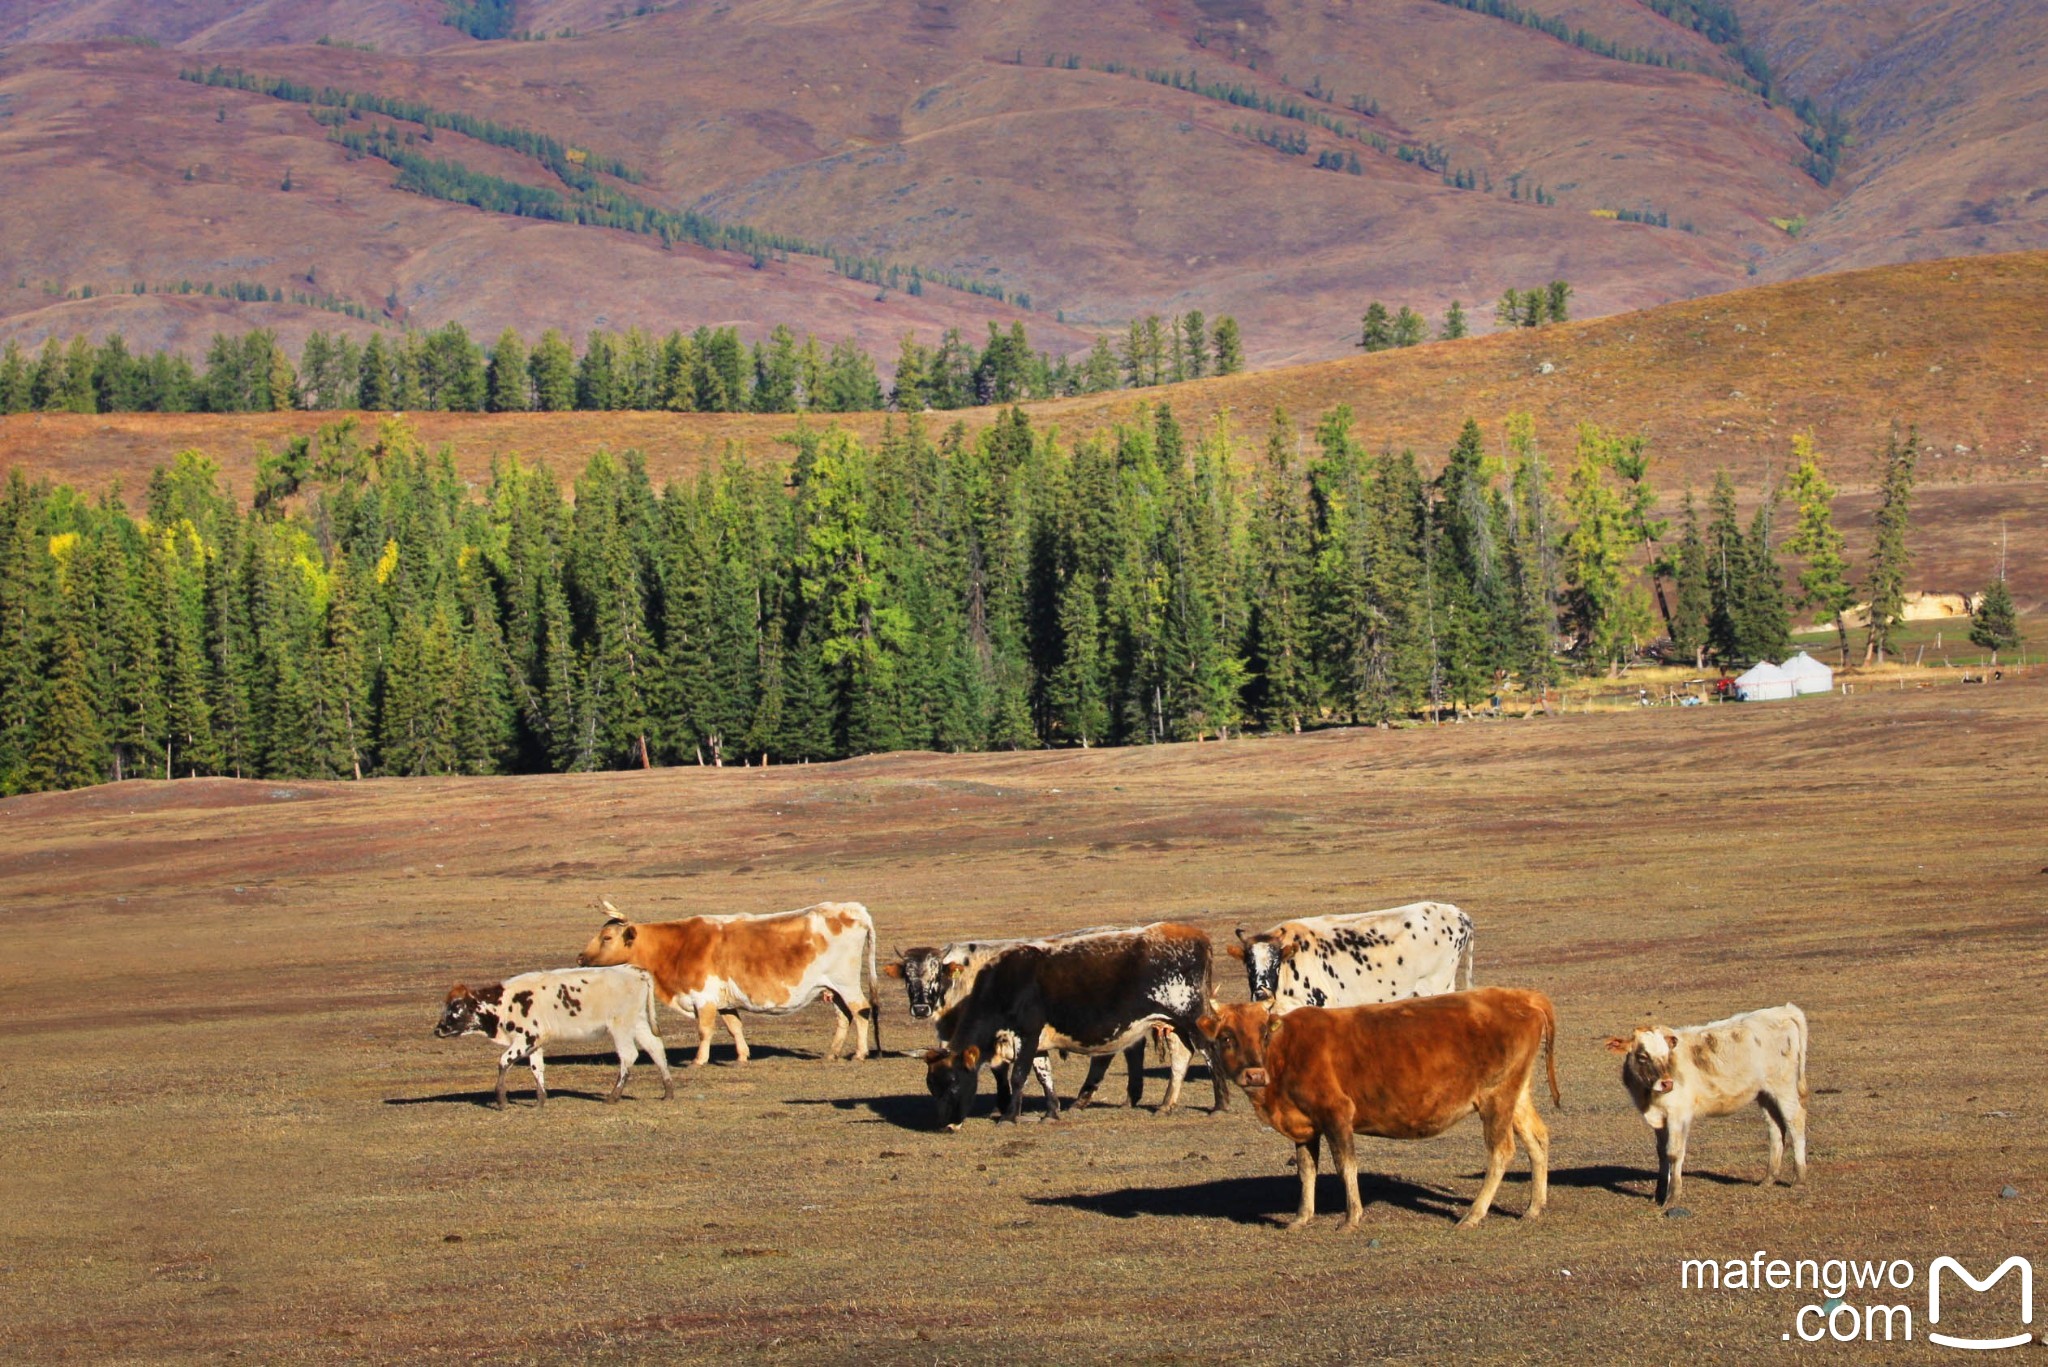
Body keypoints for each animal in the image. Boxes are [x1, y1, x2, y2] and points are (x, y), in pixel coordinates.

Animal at [434, 963, 671, 1114]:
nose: (438, 1030)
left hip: (621, 1027)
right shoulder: (535, 1043)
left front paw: (501, 1100)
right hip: (637, 1023)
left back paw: (614, 1096)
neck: (505, 1002)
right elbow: (536, 1068)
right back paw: (668, 1090)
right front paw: (540, 1101)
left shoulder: (526, 1038)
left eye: (456, 1007)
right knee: (655, 1048)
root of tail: (634, 970)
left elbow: (504, 1062)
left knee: (629, 1055)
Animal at [585, 897, 888, 1065]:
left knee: (861, 1010)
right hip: (832, 988)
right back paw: (832, 1053)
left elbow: (704, 1030)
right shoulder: (725, 1002)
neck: (676, 946)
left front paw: (699, 1060)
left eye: (607, 937)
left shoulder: (703, 999)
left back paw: (860, 1053)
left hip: (846, 983)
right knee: (843, 1016)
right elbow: (734, 1028)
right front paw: (742, 1056)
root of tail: (854, 910)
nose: (581, 957)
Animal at [1196, 987, 1556, 1237]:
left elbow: (1346, 1166)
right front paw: (1301, 1217)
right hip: (1516, 1095)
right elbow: (1306, 1171)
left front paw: (1351, 1218)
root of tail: (1521, 996)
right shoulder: (1304, 1124)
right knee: (1538, 1140)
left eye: (1263, 1034)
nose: (1254, 1074)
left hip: (1496, 1097)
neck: (1286, 1052)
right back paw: (1534, 1208)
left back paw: (1473, 1215)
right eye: (1226, 1037)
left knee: (1501, 1151)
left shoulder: (1337, 1113)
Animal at [1597, 1004, 1810, 1205]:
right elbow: (1661, 1153)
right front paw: (1658, 1194)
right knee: (1776, 1129)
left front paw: (1672, 1196)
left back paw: (1799, 1179)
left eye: (1666, 1054)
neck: (1647, 1094)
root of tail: (1784, 1010)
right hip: (1765, 1094)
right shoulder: (1660, 1118)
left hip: (1784, 1089)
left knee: (1795, 1124)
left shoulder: (1678, 1115)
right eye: (1642, 1056)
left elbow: (1674, 1153)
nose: (1667, 1083)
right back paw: (1768, 1179)